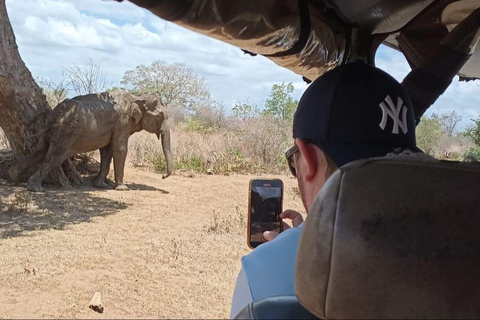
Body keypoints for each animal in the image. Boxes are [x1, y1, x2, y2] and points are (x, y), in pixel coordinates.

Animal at [8, 91, 172, 191]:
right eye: (160, 117)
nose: (163, 176)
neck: (135, 96)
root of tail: (54, 114)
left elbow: (107, 151)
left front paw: (100, 185)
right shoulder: (122, 121)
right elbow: (119, 149)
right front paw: (122, 188)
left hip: (54, 131)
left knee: (41, 151)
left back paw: (14, 176)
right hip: (65, 133)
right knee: (54, 157)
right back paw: (36, 188)